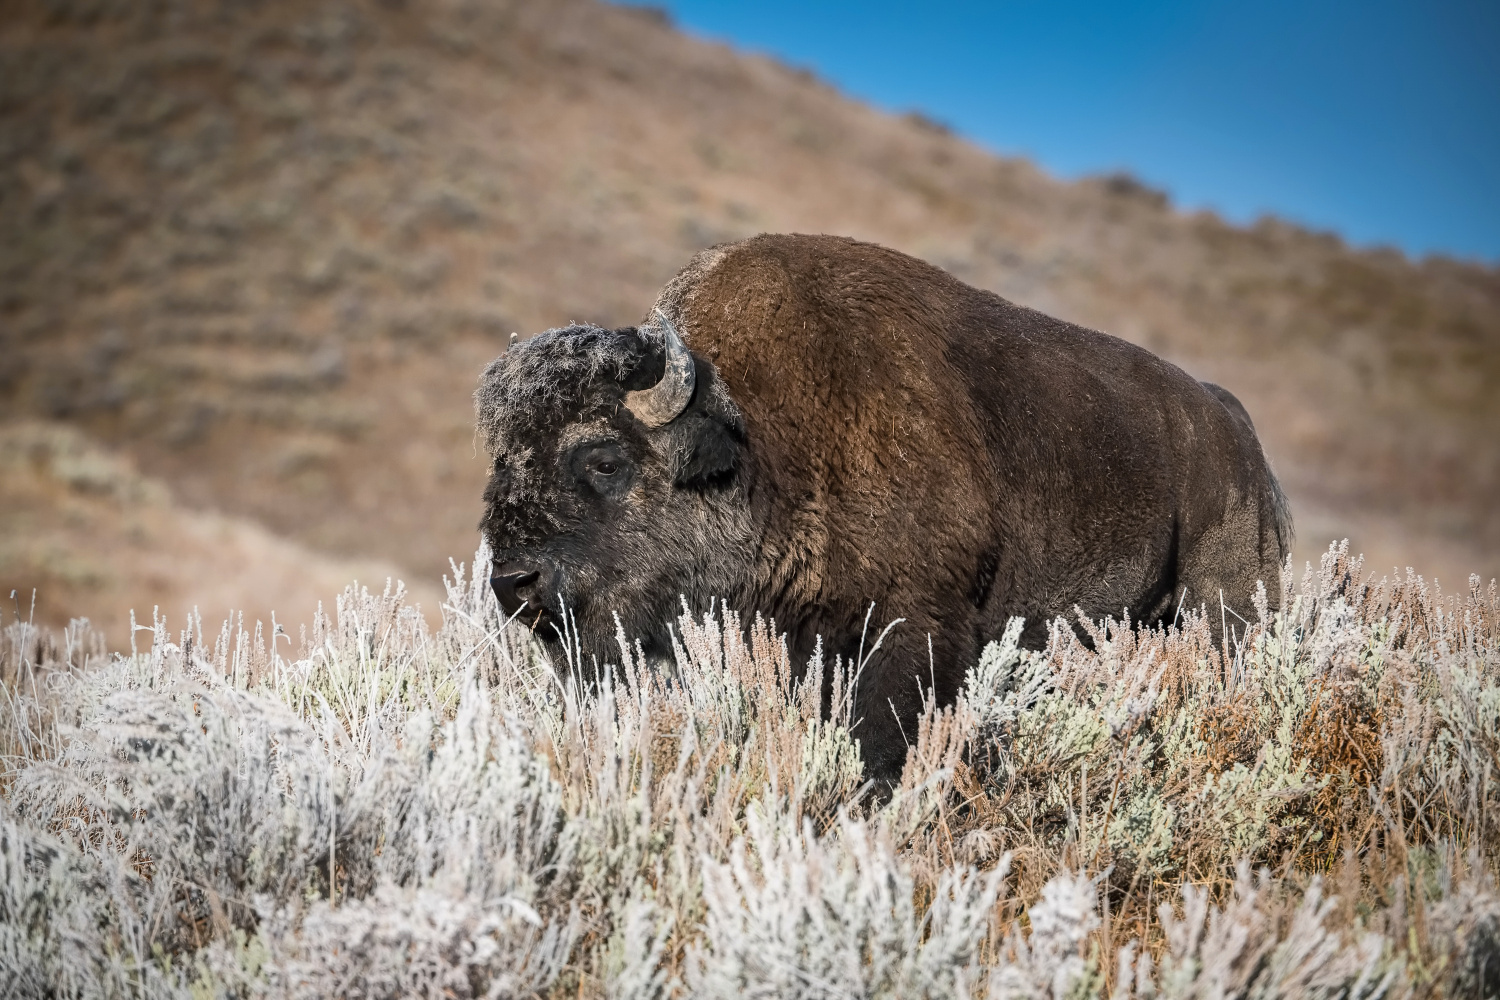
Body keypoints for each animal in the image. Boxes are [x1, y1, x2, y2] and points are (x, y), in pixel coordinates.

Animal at [477, 236, 1290, 779]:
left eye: (604, 460)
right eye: (499, 462)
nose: (513, 584)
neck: (755, 437)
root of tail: (1233, 426)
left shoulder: (913, 626)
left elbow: (881, 741)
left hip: (1227, 602)